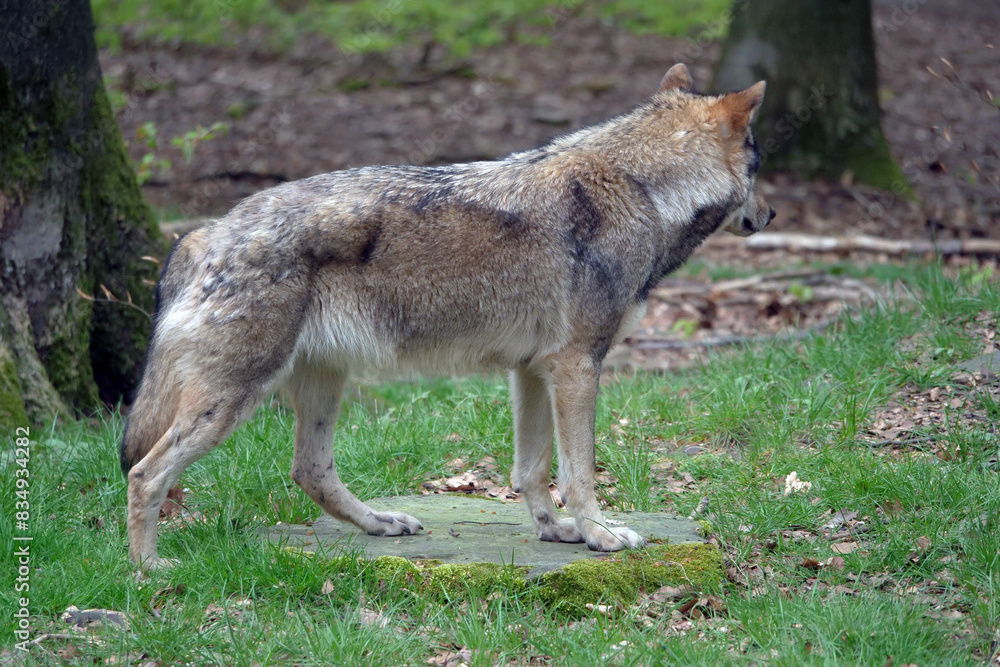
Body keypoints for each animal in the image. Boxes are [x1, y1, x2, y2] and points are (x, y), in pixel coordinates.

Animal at [121, 64, 773, 570]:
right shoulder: (577, 367)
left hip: (322, 382)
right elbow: (579, 472)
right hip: (234, 399)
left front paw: (555, 532)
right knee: (144, 474)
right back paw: (150, 570)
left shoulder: (532, 370)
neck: (642, 188)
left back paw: (381, 523)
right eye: (760, 167)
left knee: (309, 471)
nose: (771, 215)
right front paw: (601, 534)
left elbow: (532, 469)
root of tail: (204, 232)